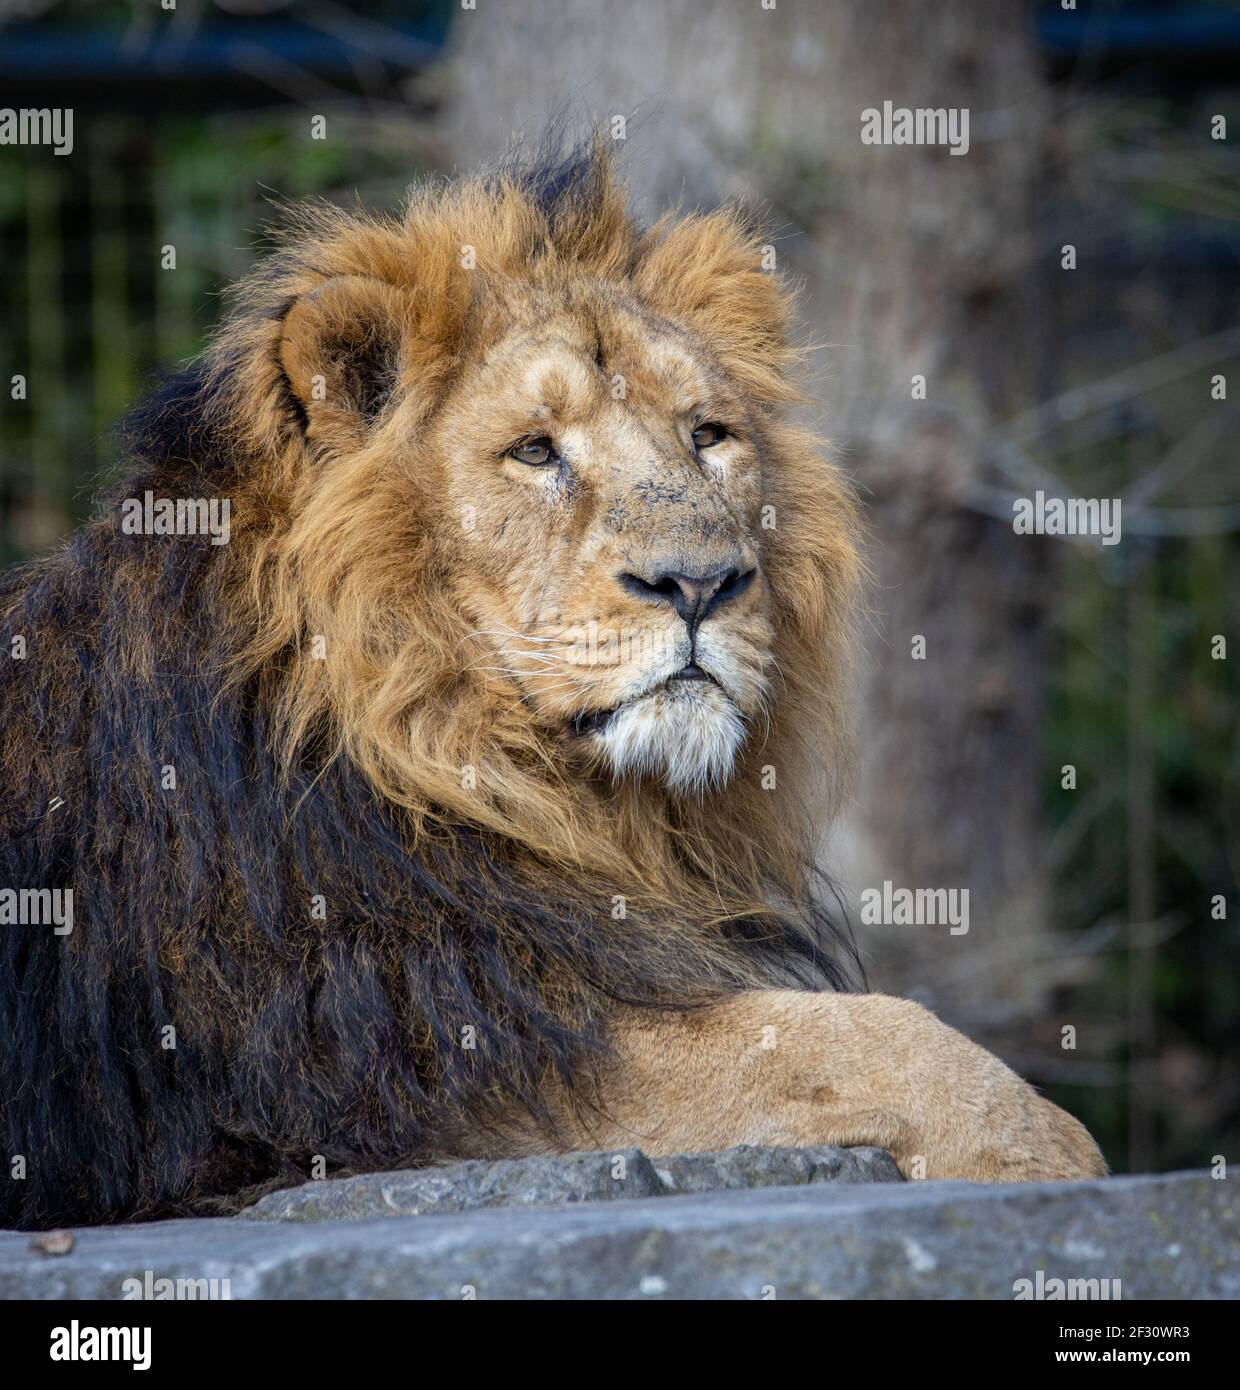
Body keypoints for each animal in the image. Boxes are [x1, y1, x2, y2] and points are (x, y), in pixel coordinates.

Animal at [0, 143, 1104, 1229]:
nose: (701, 582)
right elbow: (860, 1040)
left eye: (708, 434)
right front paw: (1054, 1158)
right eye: (534, 451)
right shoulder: (445, 1042)